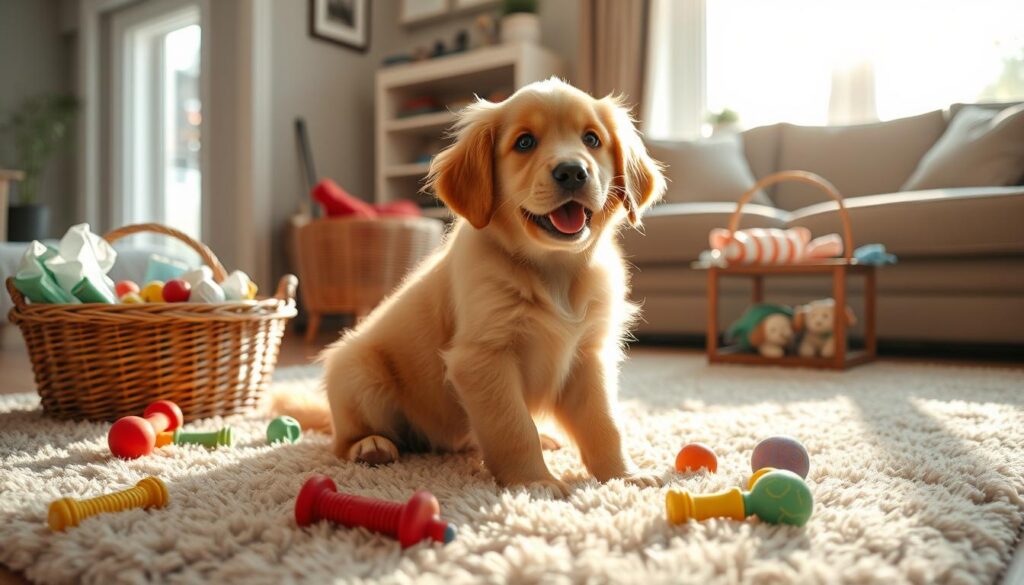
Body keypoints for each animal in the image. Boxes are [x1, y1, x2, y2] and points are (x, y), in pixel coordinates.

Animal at [278, 79, 663, 495]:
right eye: (525, 142)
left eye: (592, 139)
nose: (573, 172)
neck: (553, 270)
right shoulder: (482, 357)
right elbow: (513, 427)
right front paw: (535, 481)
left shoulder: (588, 356)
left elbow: (605, 424)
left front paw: (624, 475)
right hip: (357, 374)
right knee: (342, 440)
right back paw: (371, 446)